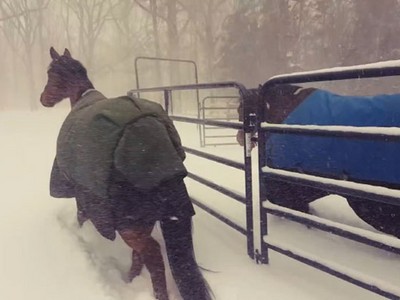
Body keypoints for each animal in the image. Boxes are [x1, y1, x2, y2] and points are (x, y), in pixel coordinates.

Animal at [40, 47, 214, 300]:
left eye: (51, 73)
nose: (43, 99)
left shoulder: (82, 194)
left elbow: (81, 217)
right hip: (146, 220)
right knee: (140, 255)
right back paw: (131, 280)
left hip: (129, 226)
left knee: (153, 256)